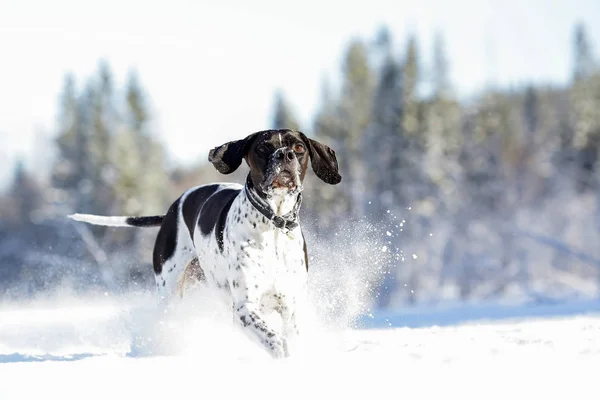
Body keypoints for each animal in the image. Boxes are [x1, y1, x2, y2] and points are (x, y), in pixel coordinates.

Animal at [68, 130, 340, 358]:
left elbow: (290, 336)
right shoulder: (244, 308)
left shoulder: (291, 307)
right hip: (170, 292)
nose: (285, 154)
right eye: (263, 147)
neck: (273, 222)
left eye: (299, 147)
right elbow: (275, 340)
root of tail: (170, 211)